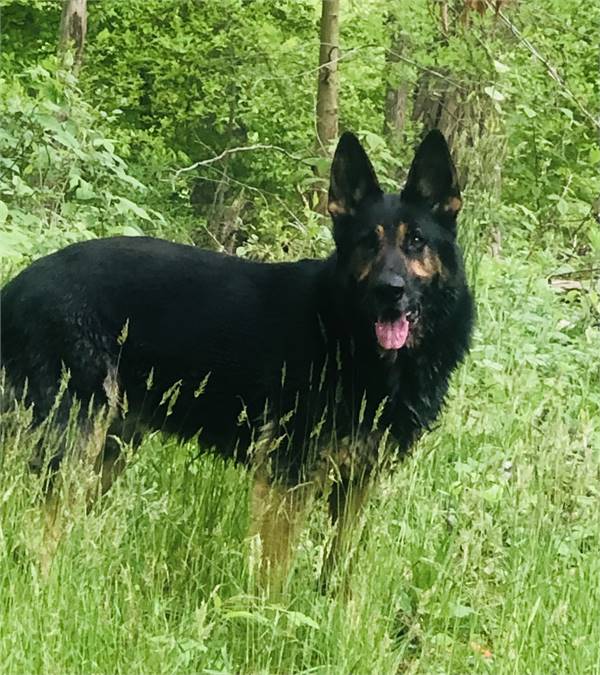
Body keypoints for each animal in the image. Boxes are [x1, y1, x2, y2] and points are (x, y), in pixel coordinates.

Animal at [1, 131, 474, 580]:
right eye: (366, 244)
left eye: (416, 241)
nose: (389, 292)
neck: (346, 332)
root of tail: (16, 286)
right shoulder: (286, 477)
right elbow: (275, 571)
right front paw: (271, 613)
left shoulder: (357, 484)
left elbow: (341, 571)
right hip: (72, 444)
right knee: (39, 531)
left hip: (112, 448)